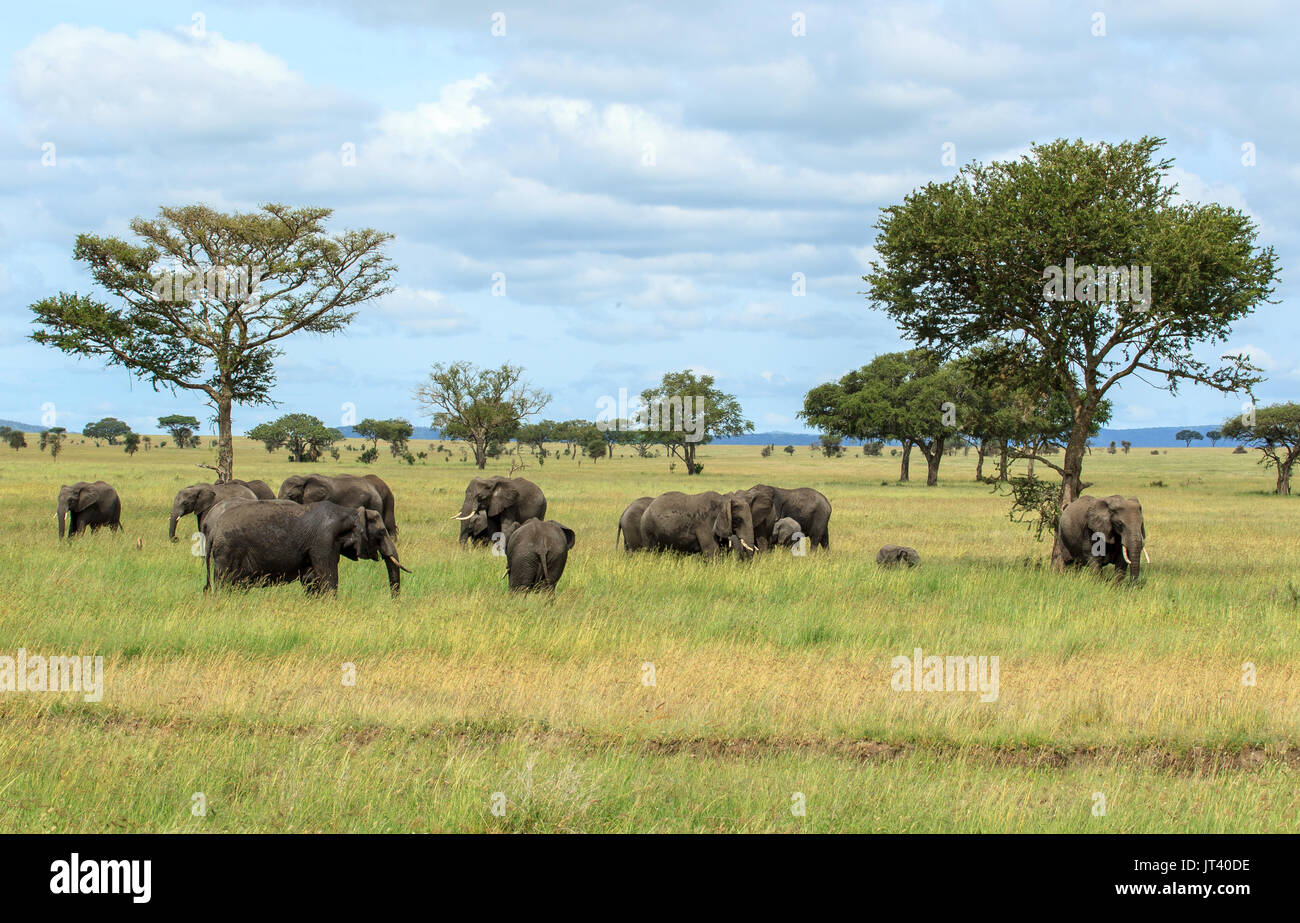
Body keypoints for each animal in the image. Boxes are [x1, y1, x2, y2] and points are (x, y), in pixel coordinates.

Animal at [204, 501, 405, 595]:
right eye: (381, 532)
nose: (394, 603)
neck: (348, 512)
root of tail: (213, 530)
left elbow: (311, 579)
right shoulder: (323, 542)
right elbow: (328, 578)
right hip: (227, 552)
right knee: (225, 583)